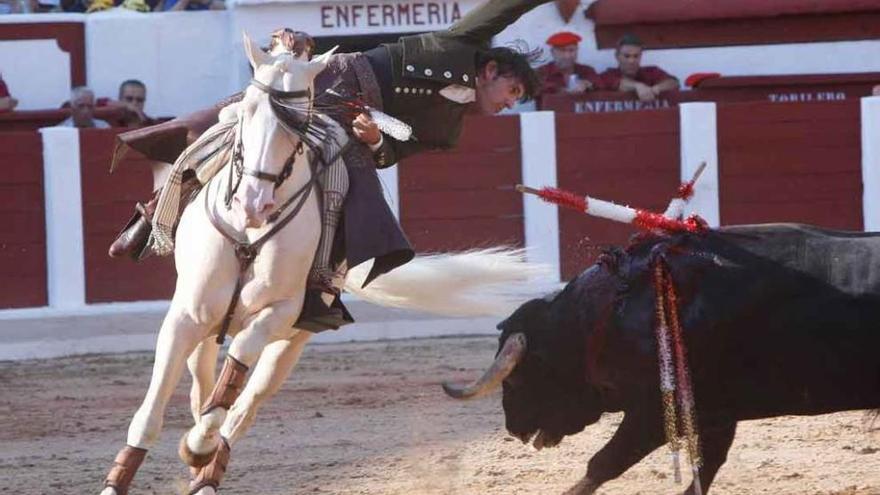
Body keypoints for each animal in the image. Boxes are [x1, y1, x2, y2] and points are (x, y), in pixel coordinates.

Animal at [99, 33, 548, 494]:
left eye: (300, 123)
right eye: (247, 111)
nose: (253, 204)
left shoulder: (282, 312)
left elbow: (237, 372)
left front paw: (200, 445)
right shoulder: (186, 315)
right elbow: (151, 413)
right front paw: (120, 479)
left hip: (292, 340)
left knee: (244, 404)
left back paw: (206, 463)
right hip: (208, 328)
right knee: (201, 385)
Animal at [444, 225, 880, 495]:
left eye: (515, 379)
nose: (514, 428)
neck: (614, 310)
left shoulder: (651, 411)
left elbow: (604, 464)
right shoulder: (713, 413)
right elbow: (705, 467)